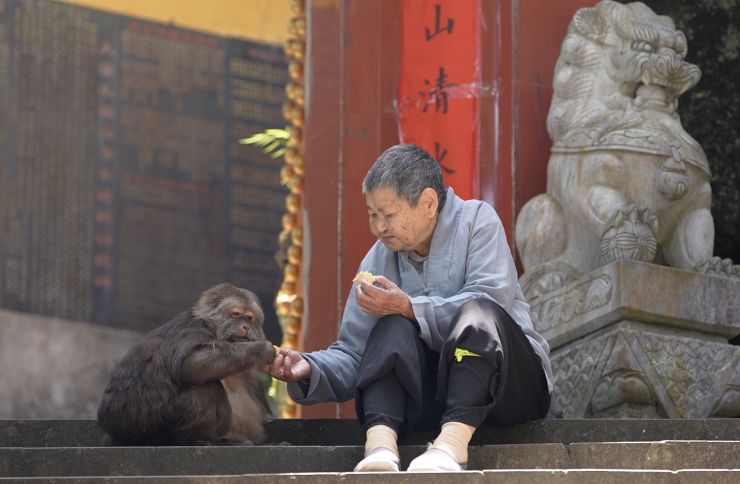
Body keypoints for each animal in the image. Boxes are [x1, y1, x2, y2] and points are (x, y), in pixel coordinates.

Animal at [95, 284, 274, 446]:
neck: (214, 330)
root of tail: (111, 433)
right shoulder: (194, 329)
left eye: (249, 317)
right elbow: (190, 363)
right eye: (236, 314)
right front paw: (260, 349)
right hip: (142, 426)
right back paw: (200, 440)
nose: (245, 327)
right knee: (207, 387)